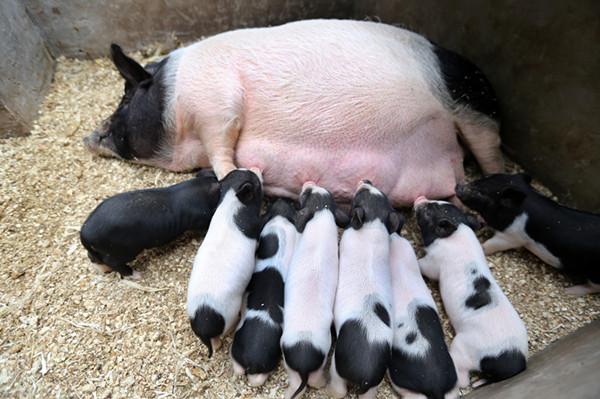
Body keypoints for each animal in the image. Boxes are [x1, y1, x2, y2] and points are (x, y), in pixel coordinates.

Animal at [84, 18, 504, 206]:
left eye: (126, 98)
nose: (90, 136)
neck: (174, 104)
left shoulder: (217, 105)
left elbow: (223, 148)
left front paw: (231, 175)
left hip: (474, 113)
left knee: (491, 156)